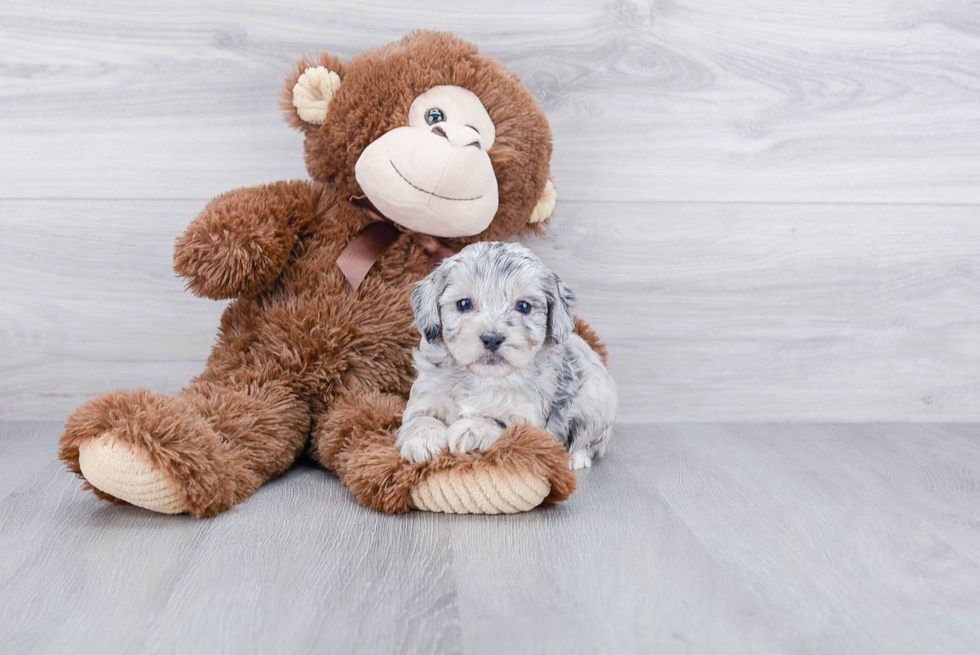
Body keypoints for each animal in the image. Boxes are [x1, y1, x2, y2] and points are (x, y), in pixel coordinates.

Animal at [394, 243, 616, 468]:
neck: (482, 379)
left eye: (523, 306)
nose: (492, 338)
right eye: (464, 304)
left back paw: (576, 458)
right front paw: (423, 440)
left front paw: (474, 429)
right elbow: (420, 418)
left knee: (590, 440)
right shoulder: (427, 395)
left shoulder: (526, 418)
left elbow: (498, 420)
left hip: (597, 403)